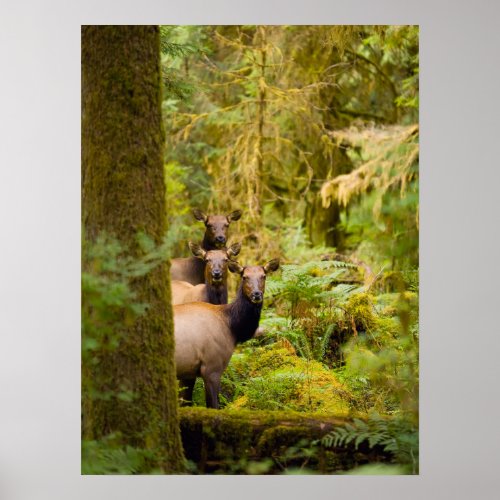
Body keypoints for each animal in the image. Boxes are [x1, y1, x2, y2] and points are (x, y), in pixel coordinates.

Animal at [174, 260, 280, 408]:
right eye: (244, 276)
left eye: (263, 276)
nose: (256, 294)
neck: (232, 328)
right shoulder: (212, 367)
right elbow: (214, 406)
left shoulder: (189, 372)